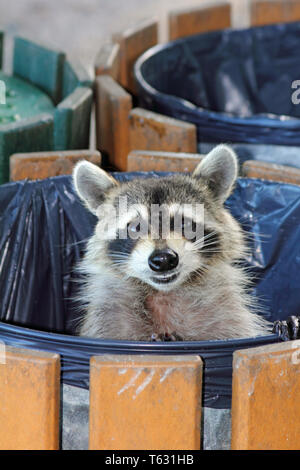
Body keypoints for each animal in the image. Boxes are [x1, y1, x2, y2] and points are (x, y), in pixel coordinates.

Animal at [73, 145, 272, 340]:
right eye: (135, 227)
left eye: (183, 223)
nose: (163, 260)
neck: (165, 293)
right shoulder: (108, 318)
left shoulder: (229, 315)